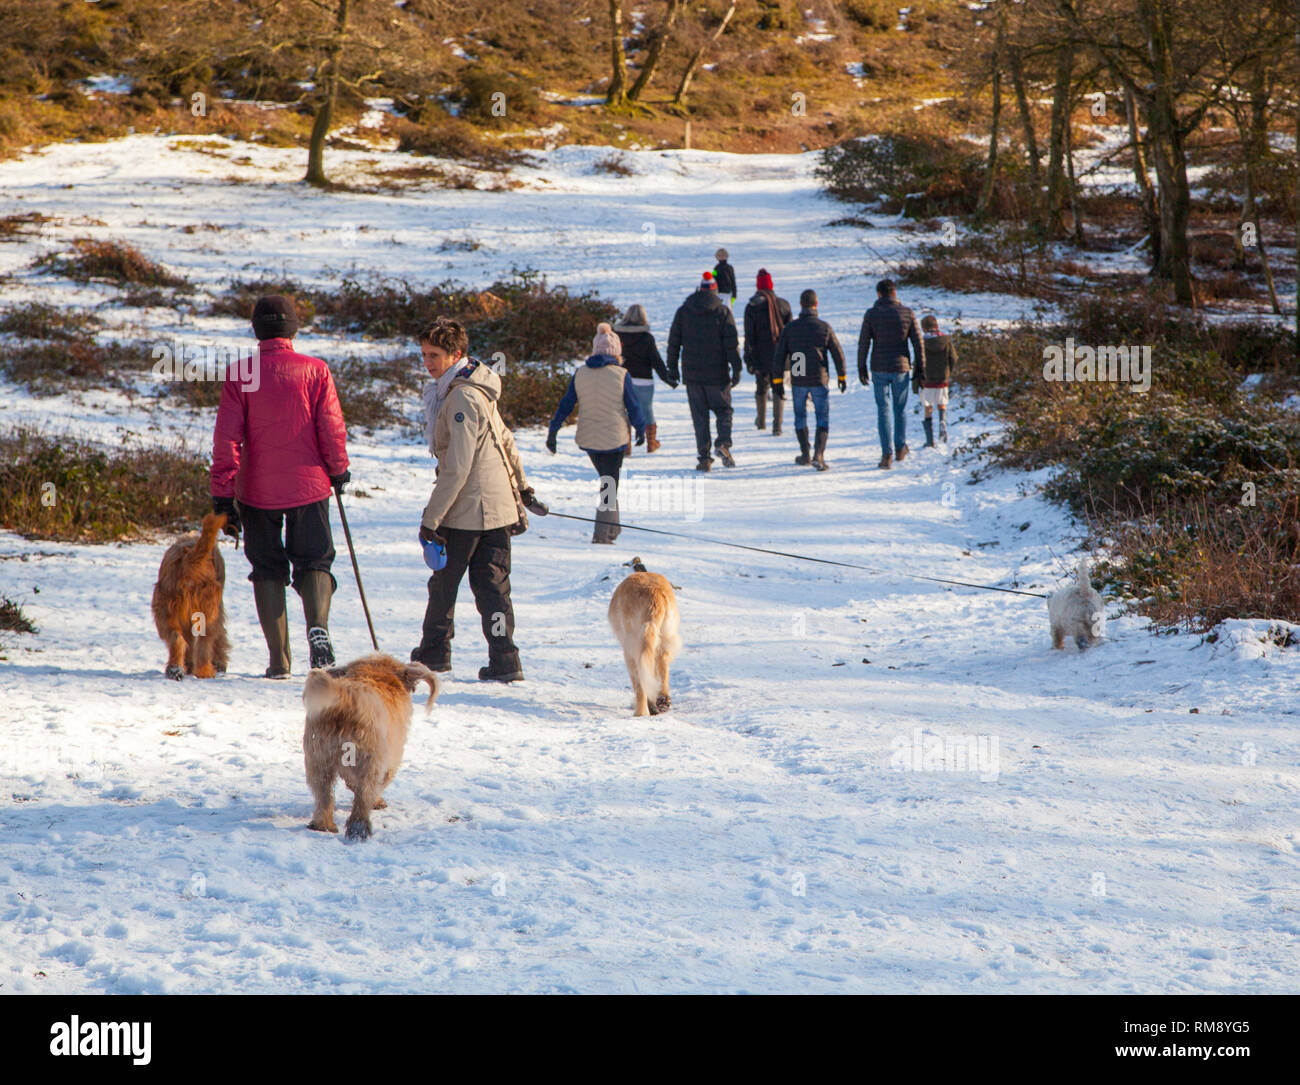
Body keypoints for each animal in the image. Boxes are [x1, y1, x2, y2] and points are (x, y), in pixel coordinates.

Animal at [152, 514, 231, 680]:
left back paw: (175, 670)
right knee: (204, 643)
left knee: (177, 639)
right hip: (209, 611)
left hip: (165, 609)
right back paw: (205, 671)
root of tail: (188, 560)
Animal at [300, 652, 439, 842]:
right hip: (370, 761)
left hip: (318, 759)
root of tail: (346, 699)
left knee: (324, 794)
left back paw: (323, 826)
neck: (377, 674)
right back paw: (358, 830)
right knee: (364, 795)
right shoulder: (391, 759)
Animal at [603, 556, 681, 717]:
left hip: (631, 649)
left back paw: (641, 711)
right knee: (662, 666)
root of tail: (654, 595)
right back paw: (663, 700)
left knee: (640, 683)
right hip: (665, 637)